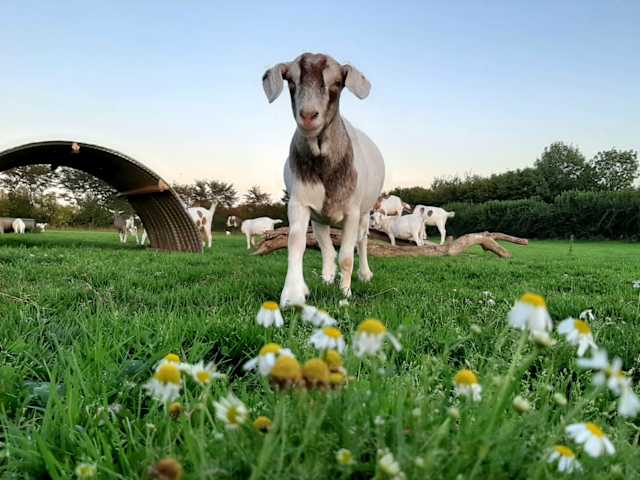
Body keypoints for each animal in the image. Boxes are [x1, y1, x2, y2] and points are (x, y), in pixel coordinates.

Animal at [263, 52, 384, 306]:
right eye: (291, 81)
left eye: (337, 83)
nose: (308, 115)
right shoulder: (300, 203)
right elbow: (296, 243)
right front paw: (293, 294)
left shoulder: (352, 211)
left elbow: (347, 256)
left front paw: (345, 292)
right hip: (319, 218)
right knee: (327, 247)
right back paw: (327, 277)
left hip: (366, 211)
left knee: (362, 240)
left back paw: (364, 274)